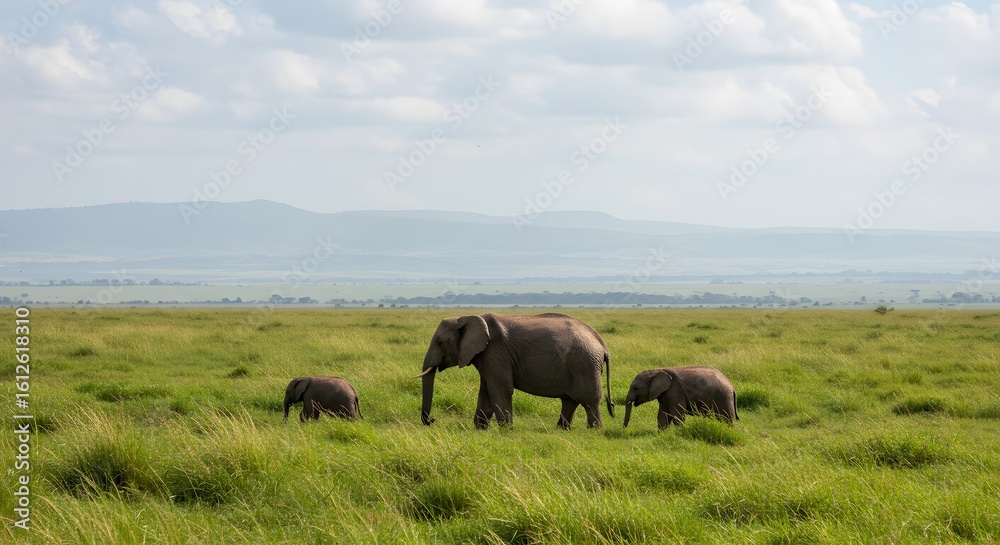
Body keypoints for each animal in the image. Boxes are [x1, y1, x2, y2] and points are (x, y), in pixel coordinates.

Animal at [416, 313, 613, 429]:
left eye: (440, 342)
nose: (432, 420)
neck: (466, 317)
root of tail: (601, 343)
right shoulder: (486, 357)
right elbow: (486, 392)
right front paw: (480, 429)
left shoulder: (495, 352)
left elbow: (500, 389)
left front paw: (506, 430)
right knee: (570, 400)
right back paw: (562, 429)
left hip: (585, 365)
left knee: (589, 400)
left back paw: (594, 430)